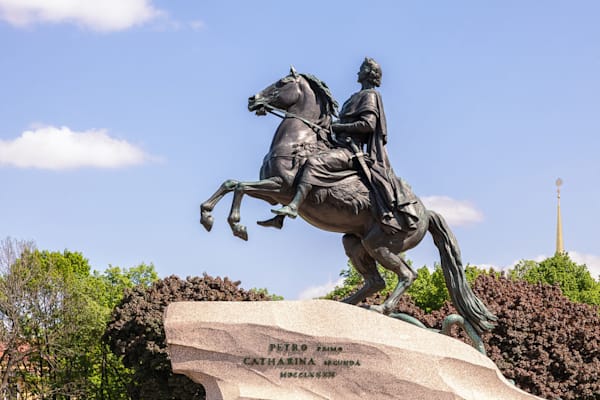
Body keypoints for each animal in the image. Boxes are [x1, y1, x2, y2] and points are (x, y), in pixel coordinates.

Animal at [199, 66, 494, 334]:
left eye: (282, 82)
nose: (253, 100)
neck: (299, 141)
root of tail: (426, 213)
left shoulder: (281, 188)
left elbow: (241, 186)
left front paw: (238, 224)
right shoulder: (272, 191)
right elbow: (232, 183)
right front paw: (209, 216)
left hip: (380, 245)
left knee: (406, 275)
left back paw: (380, 308)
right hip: (355, 242)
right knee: (375, 281)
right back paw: (345, 304)